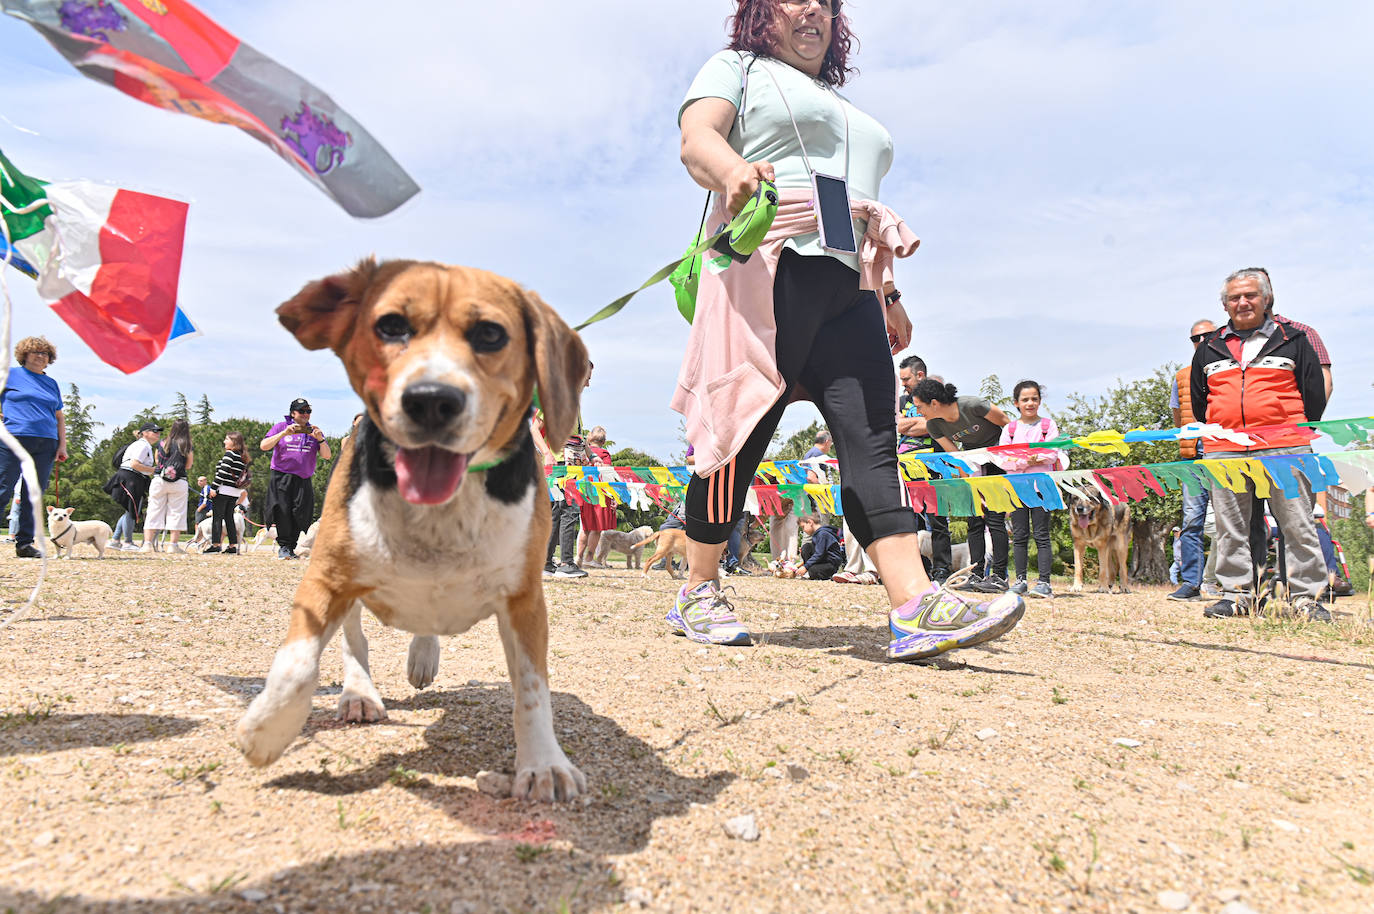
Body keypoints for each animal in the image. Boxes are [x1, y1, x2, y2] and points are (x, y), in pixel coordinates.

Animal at [237, 257, 590, 797]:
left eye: (490, 334)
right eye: (390, 326)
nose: (430, 400)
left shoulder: (524, 598)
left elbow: (533, 688)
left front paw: (544, 764)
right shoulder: (326, 578)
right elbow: (297, 666)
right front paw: (266, 731)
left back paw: (423, 655)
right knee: (353, 641)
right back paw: (358, 695)